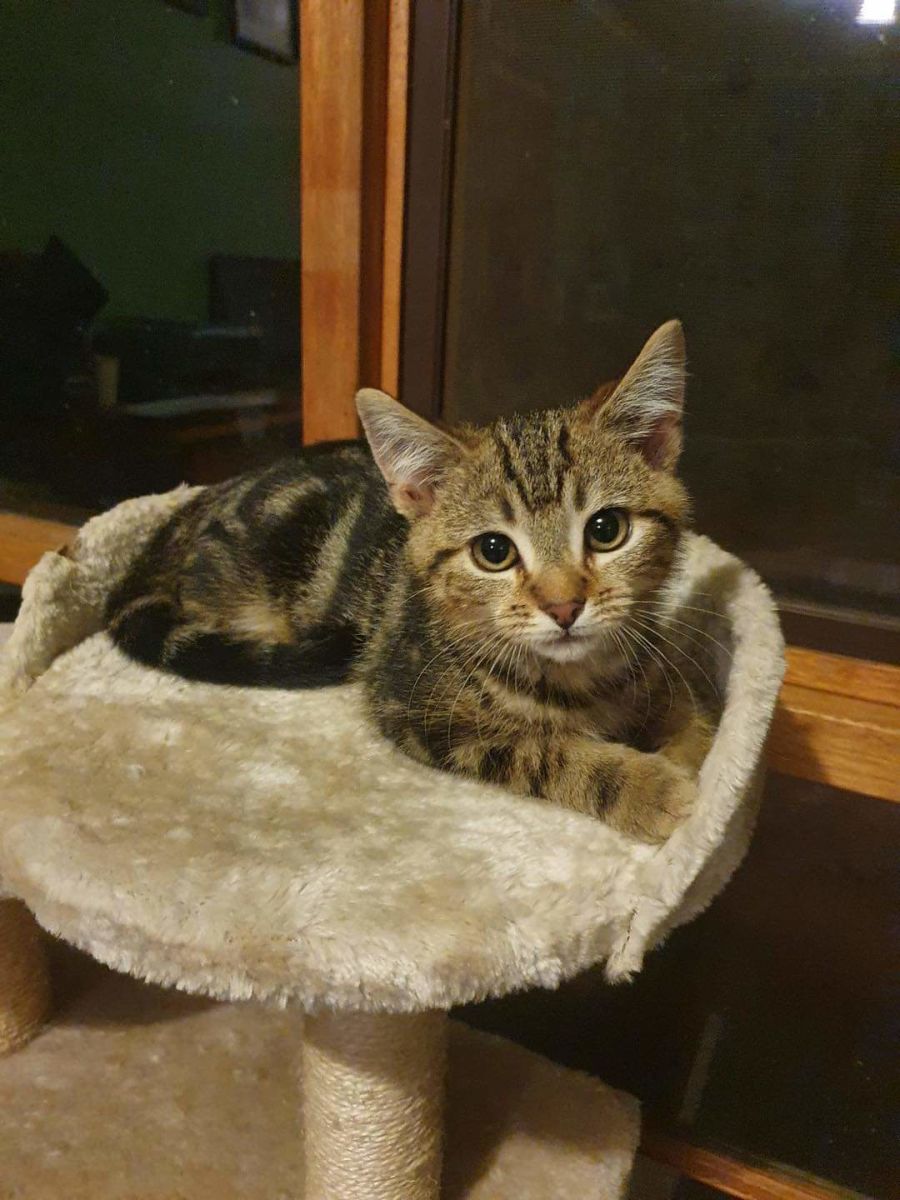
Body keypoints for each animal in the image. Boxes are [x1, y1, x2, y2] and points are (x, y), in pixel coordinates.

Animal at [106, 320, 712, 843]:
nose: (564, 607)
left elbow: (685, 707)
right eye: (493, 551)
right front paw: (646, 787)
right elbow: (543, 748)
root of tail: (188, 509)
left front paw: (701, 756)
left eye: (606, 530)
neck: (581, 680)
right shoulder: (418, 711)